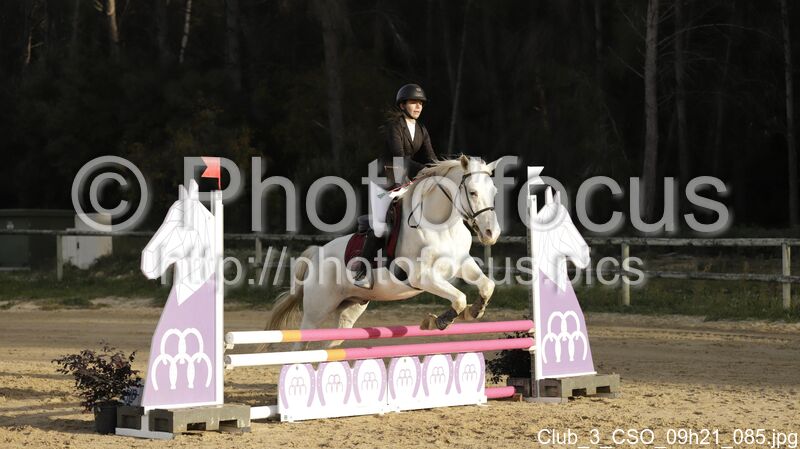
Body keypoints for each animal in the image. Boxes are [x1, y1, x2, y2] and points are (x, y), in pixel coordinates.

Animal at [267, 155, 503, 347]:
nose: (492, 233)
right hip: (315, 313)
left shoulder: (461, 263)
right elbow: (459, 298)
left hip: (349, 312)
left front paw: (475, 310)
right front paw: (439, 320)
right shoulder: (422, 277)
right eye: (472, 192)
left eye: (494, 192)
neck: (442, 227)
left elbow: (487, 285)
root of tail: (317, 255)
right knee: (301, 345)